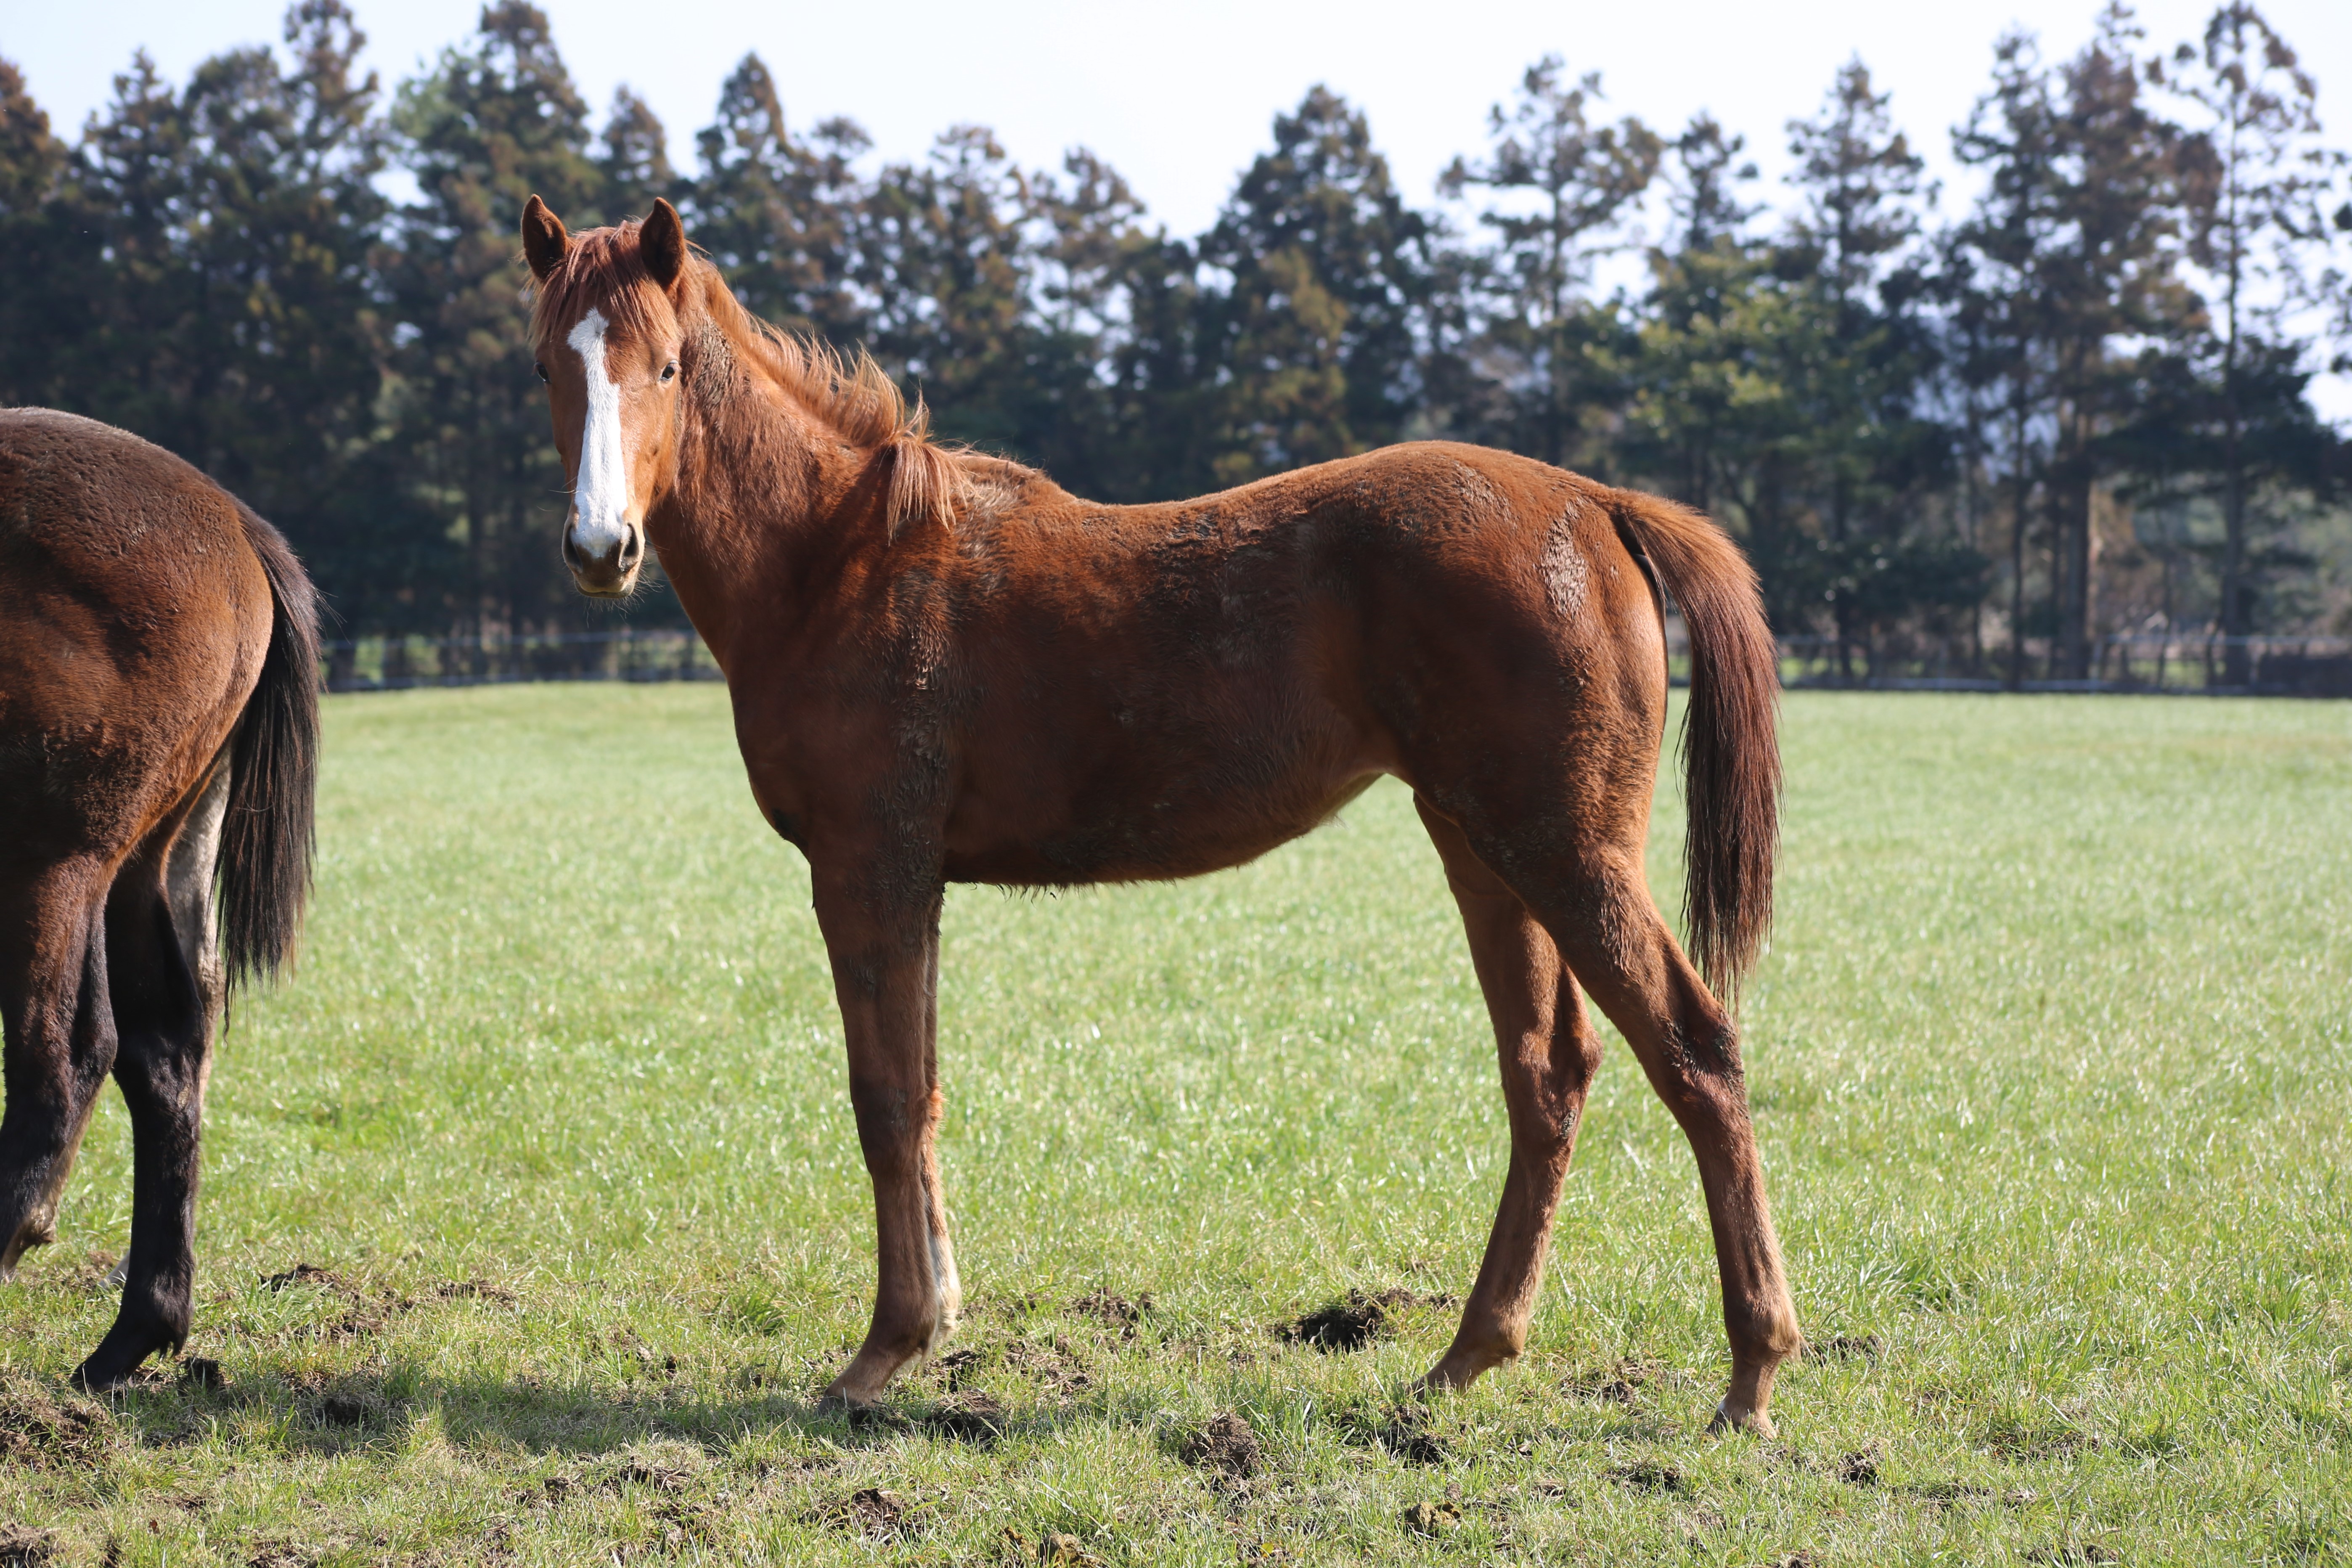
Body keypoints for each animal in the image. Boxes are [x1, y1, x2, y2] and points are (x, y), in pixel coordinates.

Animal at [0, 411, 317, 1391]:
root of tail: (236, 531)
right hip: (148, 859)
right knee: (166, 1052)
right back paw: (134, 1335)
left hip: (53, 865)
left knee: (64, 1061)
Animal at [519, 196, 1797, 1438]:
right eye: (547, 366)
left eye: (669, 364)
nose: (598, 548)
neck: (841, 559)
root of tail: (1597, 503)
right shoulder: (910, 880)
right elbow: (919, 1089)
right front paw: (927, 1322)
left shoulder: (867, 866)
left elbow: (883, 1097)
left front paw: (880, 1354)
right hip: (1485, 847)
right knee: (1548, 1073)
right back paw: (1464, 1359)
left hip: (1564, 850)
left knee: (1694, 1048)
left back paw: (1750, 1371)